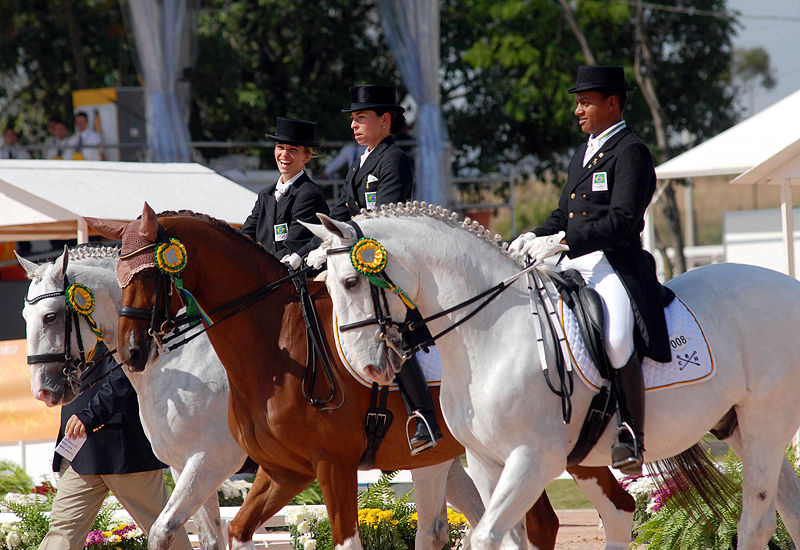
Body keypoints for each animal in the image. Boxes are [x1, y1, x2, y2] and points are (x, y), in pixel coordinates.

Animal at [17, 244, 247, 550]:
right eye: (24, 317)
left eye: (51, 317)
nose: (41, 390)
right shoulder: (184, 465)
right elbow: (209, 539)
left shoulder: (210, 459)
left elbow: (161, 530)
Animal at [89, 203, 636, 550]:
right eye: (117, 277)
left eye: (148, 274)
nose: (133, 352)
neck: (276, 343)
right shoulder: (282, 470)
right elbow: (230, 531)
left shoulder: (321, 465)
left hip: (555, 449)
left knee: (565, 518)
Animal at [310, 202, 800, 550]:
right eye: (327, 286)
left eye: (351, 282)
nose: (369, 365)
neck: (487, 333)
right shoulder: (485, 461)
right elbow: (501, 539)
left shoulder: (534, 459)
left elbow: (485, 536)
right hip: (739, 426)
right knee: (790, 509)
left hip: (765, 423)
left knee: (756, 525)